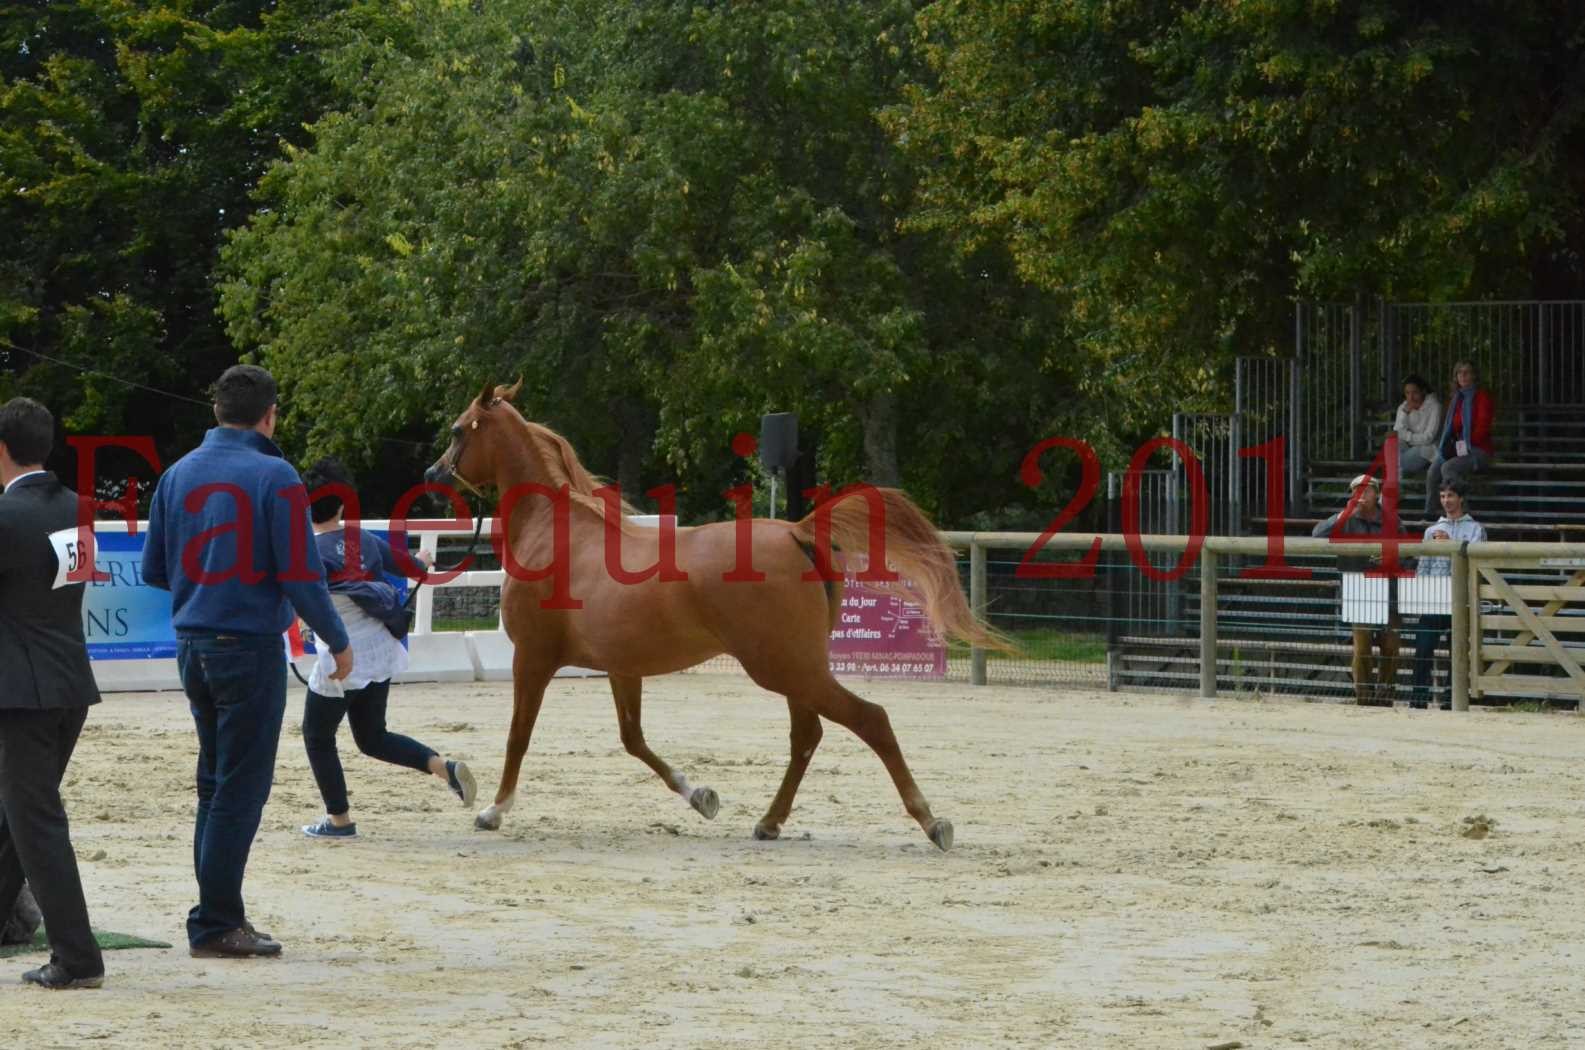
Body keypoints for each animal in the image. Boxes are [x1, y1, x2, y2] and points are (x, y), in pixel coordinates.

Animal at [424, 382, 1001, 850]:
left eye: (456, 430)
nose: (432, 475)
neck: (556, 533)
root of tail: (797, 531)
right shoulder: (621, 668)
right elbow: (634, 740)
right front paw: (700, 795)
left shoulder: (533, 657)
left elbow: (519, 735)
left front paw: (493, 810)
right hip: (795, 668)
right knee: (807, 736)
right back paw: (769, 822)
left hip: (785, 667)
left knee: (869, 720)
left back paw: (932, 823)